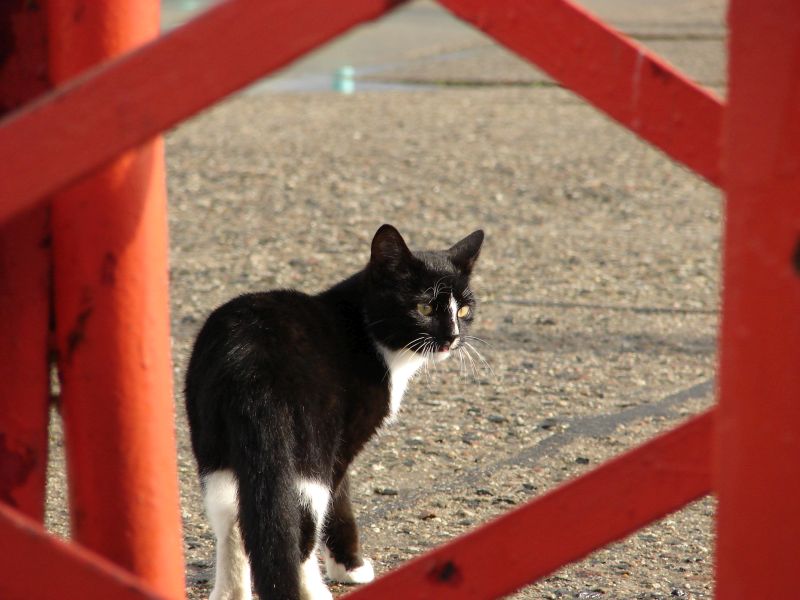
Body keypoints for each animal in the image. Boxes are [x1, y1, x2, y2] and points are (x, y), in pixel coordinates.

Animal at [185, 224, 484, 600]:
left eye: (464, 311)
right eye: (425, 307)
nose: (452, 338)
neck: (366, 328)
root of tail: (247, 359)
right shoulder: (345, 437)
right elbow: (339, 501)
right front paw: (351, 568)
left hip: (212, 444)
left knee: (231, 519)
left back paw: (230, 593)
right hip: (311, 445)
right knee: (297, 527)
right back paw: (313, 590)